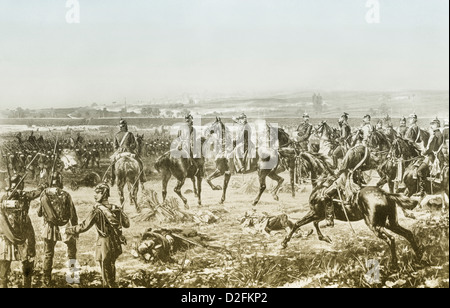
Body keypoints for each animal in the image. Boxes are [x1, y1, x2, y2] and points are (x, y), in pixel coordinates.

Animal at [282, 176, 422, 268]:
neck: (320, 191)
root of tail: (385, 194)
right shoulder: (320, 215)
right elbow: (314, 224)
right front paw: (325, 238)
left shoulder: (315, 213)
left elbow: (298, 223)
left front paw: (284, 242)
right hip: (390, 223)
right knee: (408, 234)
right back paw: (419, 256)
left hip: (374, 226)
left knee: (391, 239)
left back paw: (394, 263)